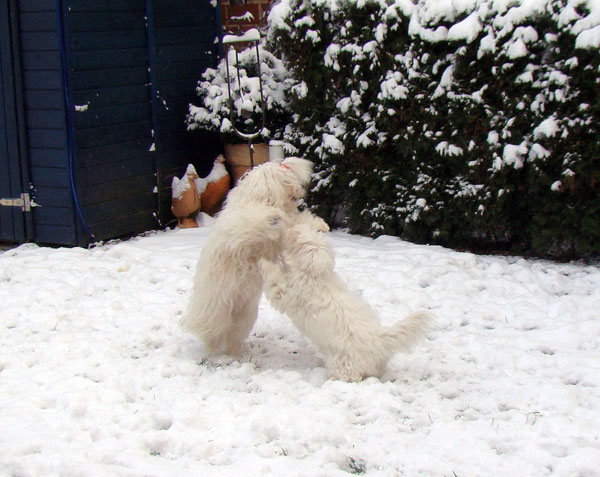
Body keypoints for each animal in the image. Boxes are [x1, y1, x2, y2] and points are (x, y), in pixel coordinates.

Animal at [182, 157, 314, 355]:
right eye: (286, 179)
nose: (300, 192)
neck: (262, 200)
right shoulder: (241, 231)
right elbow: (255, 224)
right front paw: (272, 217)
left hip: (244, 316)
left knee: (232, 334)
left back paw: (235, 352)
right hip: (215, 310)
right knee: (211, 332)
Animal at [260, 212, 432, 381]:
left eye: (296, 237)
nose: (285, 229)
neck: (315, 275)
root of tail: (380, 341)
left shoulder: (286, 293)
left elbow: (274, 279)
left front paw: (264, 261)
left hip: (344, 364)